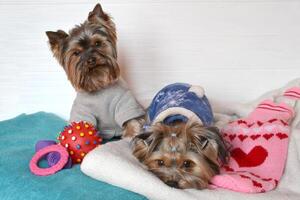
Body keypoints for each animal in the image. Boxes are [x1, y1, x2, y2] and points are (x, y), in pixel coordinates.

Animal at [45, 3, 145, 140]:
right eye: (76, 53)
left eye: (97, 43)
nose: (91, 60)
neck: (99, 82)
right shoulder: (82, 111)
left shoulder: (125, 103)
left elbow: (131, 121)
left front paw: (130, 135)